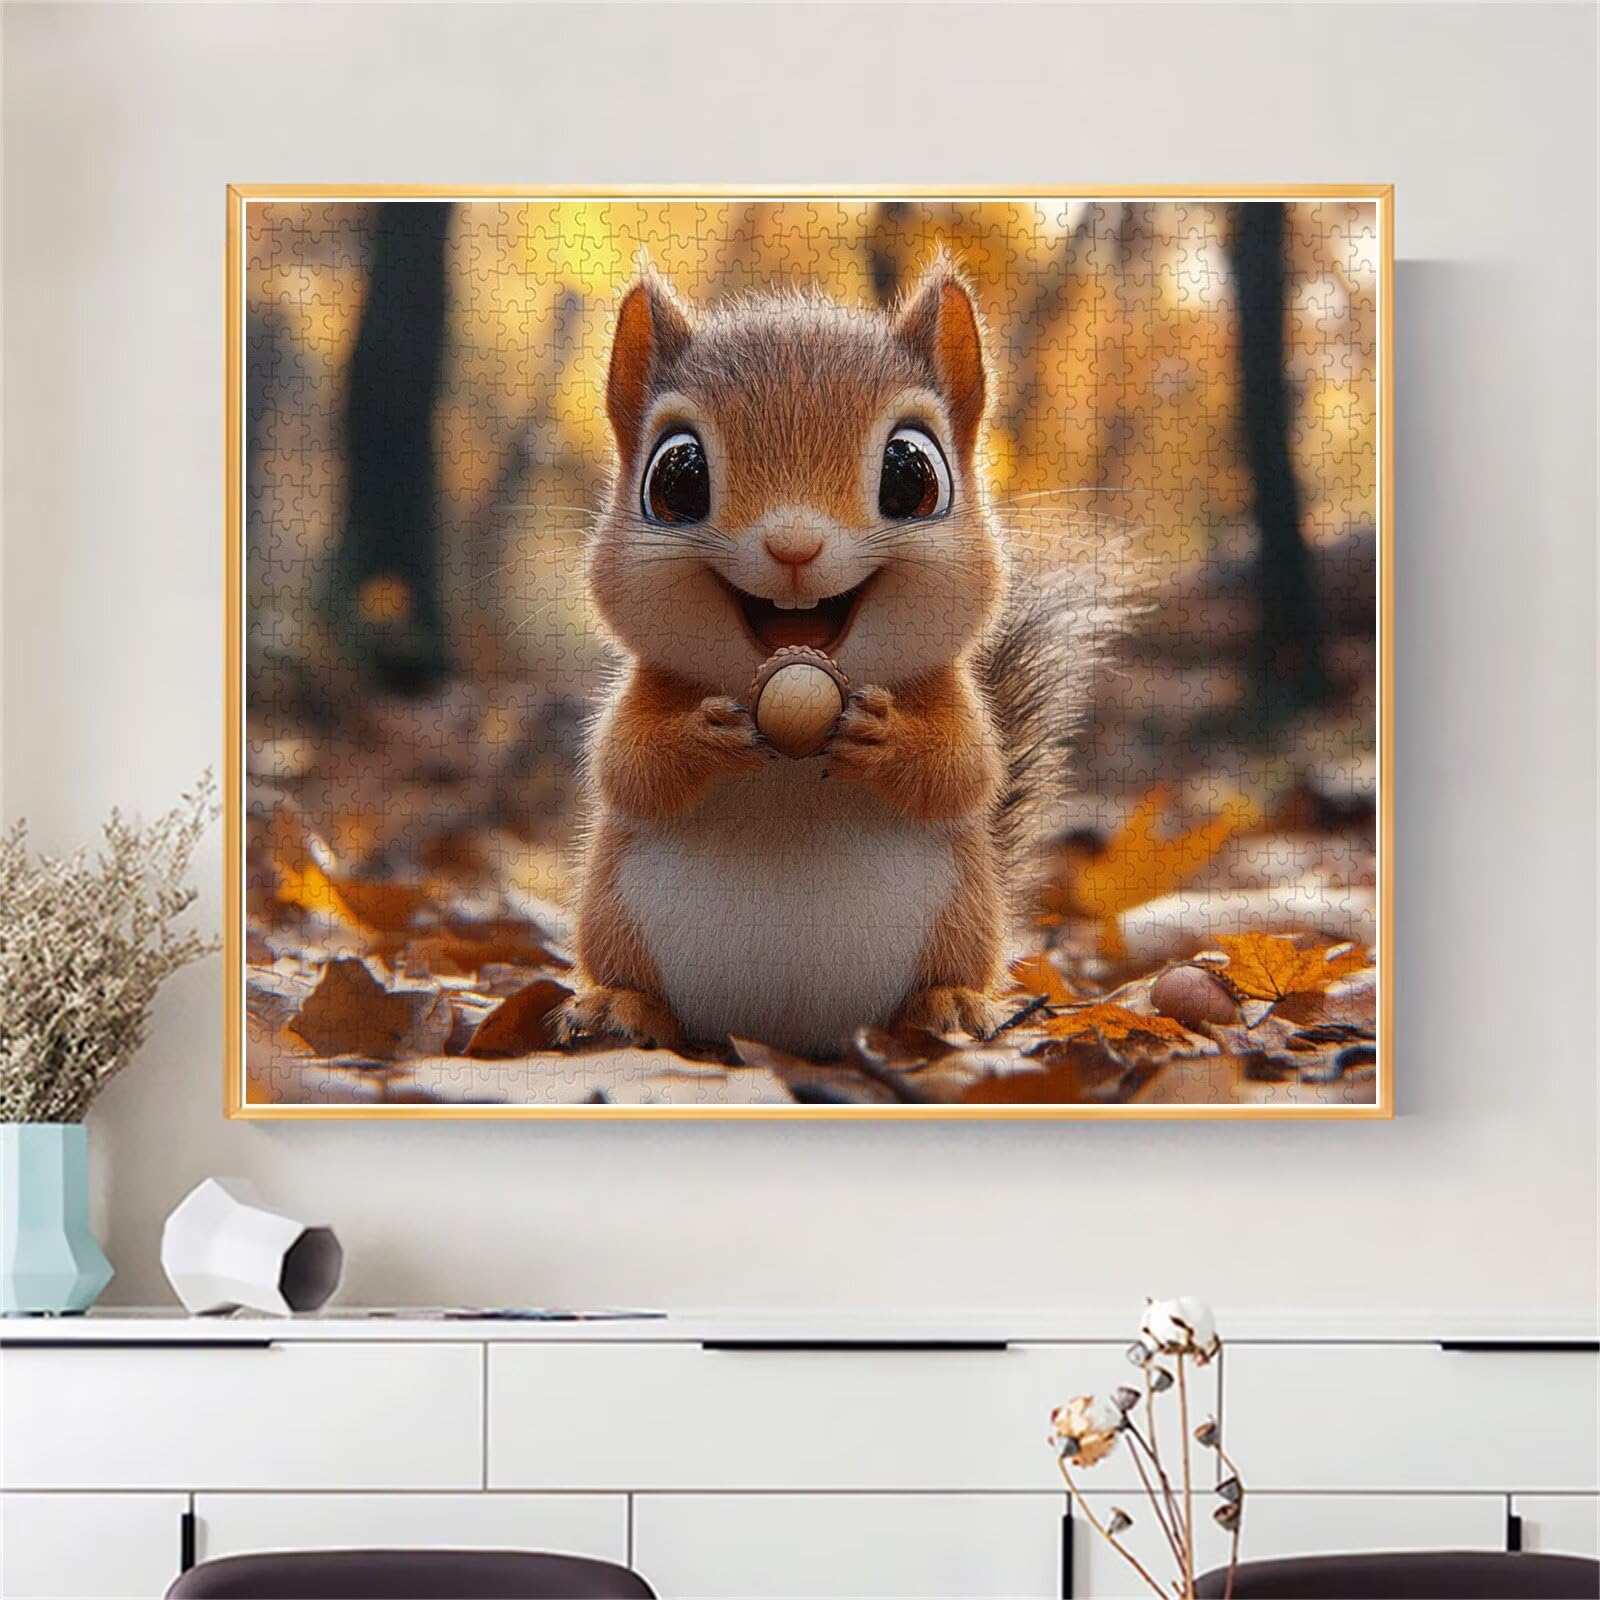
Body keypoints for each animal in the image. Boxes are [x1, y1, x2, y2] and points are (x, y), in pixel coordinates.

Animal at [556, 257, 1113, 1058]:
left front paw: (884, 736)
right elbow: (626, 765)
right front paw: (703, 734)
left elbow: (965, 770)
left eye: (911, 475)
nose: (794, 545)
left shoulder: (951, 700)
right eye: (676, 478)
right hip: (615, 922)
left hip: (961, 919)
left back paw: (949, 1005)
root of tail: (790, 1034)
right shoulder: (643, 693)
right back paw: (620, 1007)